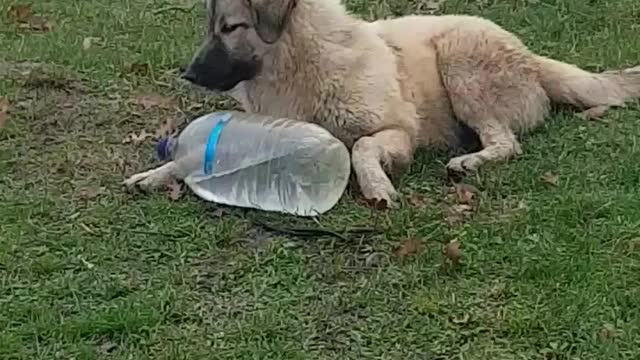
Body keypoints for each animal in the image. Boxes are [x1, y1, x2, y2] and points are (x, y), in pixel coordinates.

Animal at [122, 0, 636, 208]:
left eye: (231, 28)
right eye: (212, 29)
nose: (188, 73)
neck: (300, 64)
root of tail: (531, 56)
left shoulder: (396, 131)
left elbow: (359, 147)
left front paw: (376, 185)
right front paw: (158, 173)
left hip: (459, 62)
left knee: (507, 142)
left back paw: (470, 161)